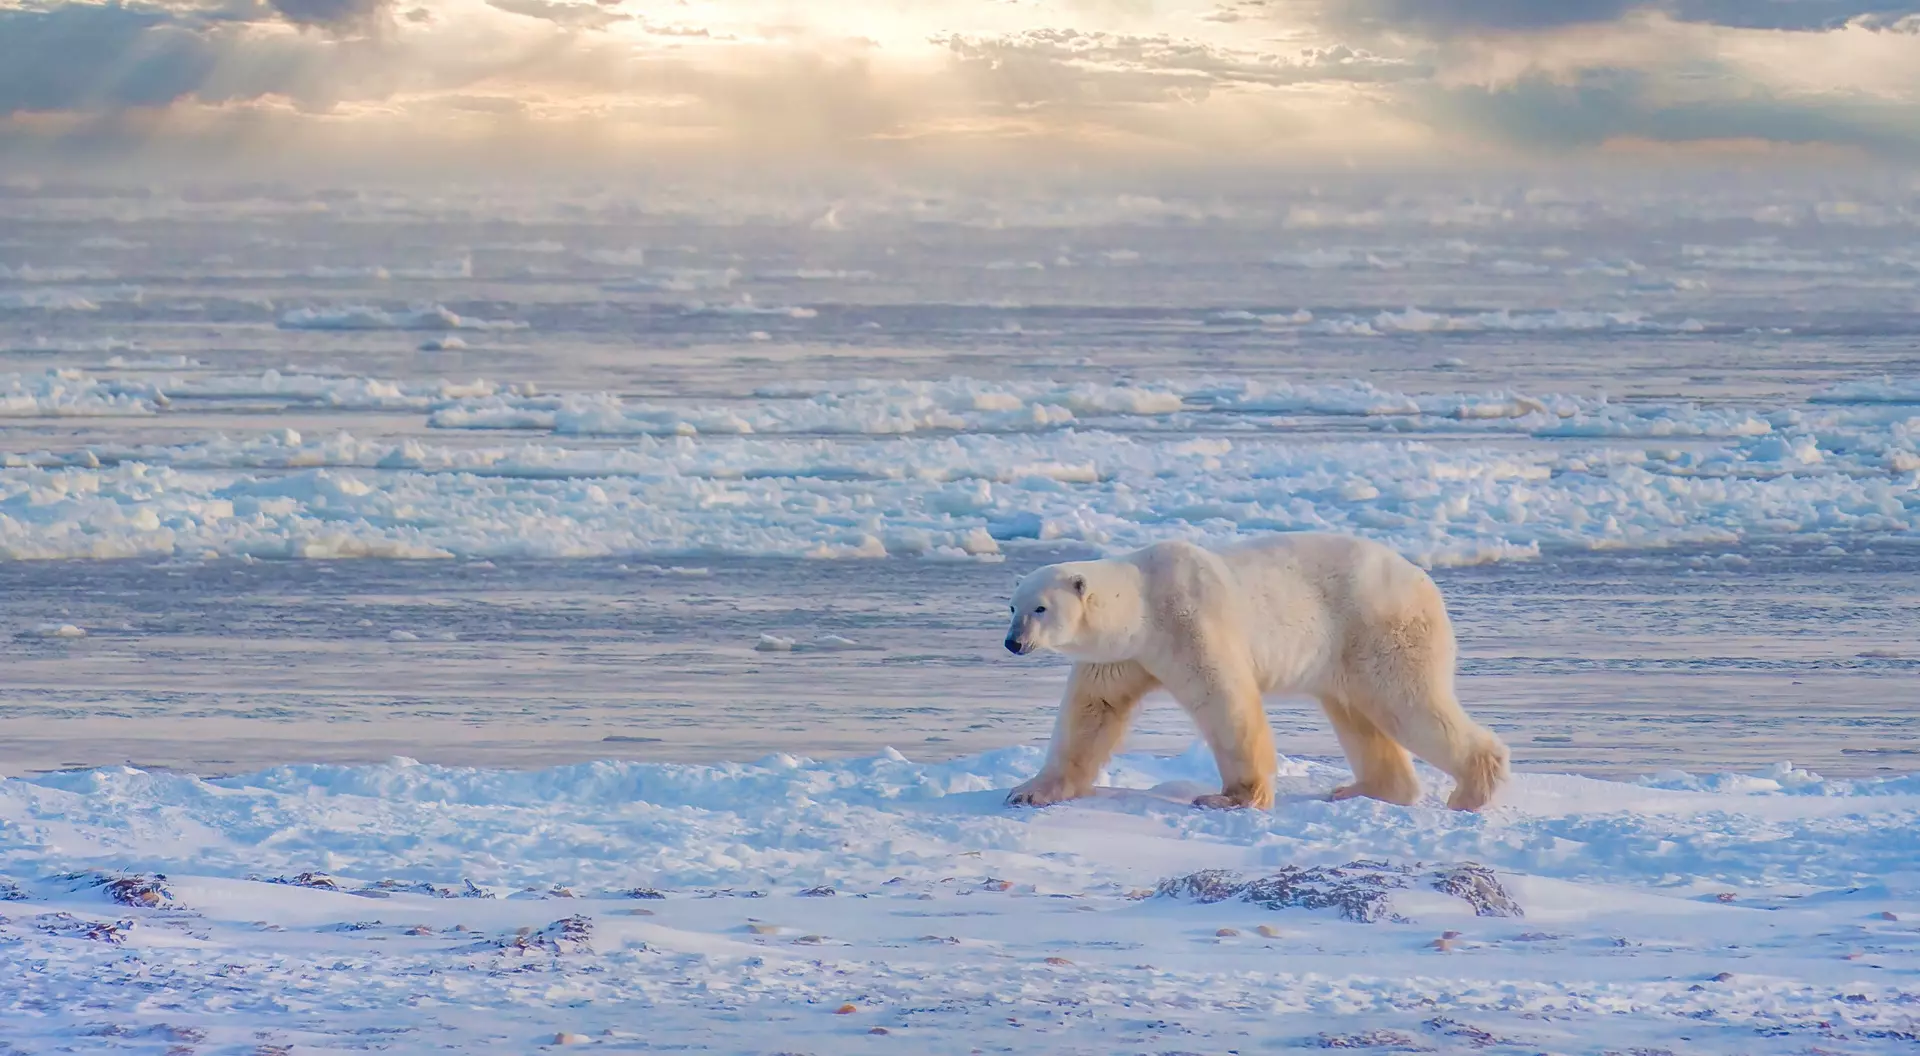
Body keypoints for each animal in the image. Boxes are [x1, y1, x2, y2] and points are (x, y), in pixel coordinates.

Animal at [1000, 533, 1510, 812]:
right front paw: (1028, 791)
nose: (1012, 642)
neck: (1144, 600)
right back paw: (1363, 789)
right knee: (1358, 715)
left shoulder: (1191, 621)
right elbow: (1092, 711)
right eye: (1012, 605)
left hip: (1379, 628)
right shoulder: (1122, 656)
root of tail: (1425, 580)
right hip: (1346, 653)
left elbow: (1225, 701)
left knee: (1408, 702)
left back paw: (1471, 790)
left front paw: (1232, 797)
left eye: (1040, 608)